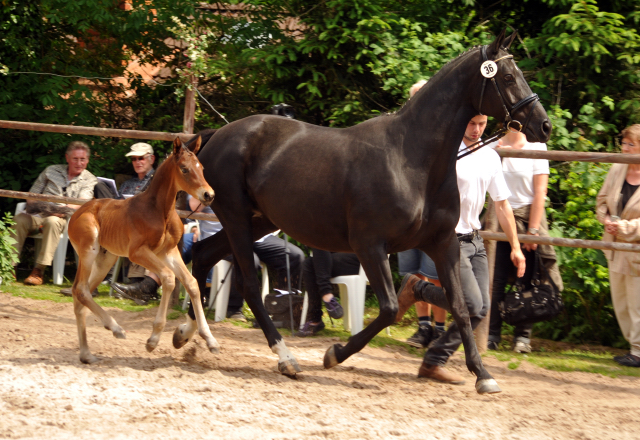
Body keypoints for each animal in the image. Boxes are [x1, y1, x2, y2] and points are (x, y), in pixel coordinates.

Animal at [68, 138, 218, 364]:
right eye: (184, 169)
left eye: (201, 168)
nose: (208, 195)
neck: (159, 210)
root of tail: (75, 214)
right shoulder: (138, 253)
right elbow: (168, 278)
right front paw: (153, 340)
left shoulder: (169, 252)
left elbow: (191, 283)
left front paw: (209, 340)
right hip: (89, 250)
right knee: (80, 289)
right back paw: (116, 328)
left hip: (105, 259)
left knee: (80, 296)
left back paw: (86, 354)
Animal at [178, 31, 552, 396]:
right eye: (507, 77)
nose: (544, 126)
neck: (412, 160)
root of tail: (217, 135)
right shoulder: (370, 245)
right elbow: (389, 308)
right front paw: (334, 354)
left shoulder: (443, 243)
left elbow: (460, 307)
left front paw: (482, 375)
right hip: (237, 218)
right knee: (250, 286)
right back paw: (285, 358)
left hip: (258, 221)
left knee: (204, 254)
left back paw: (185, 332)